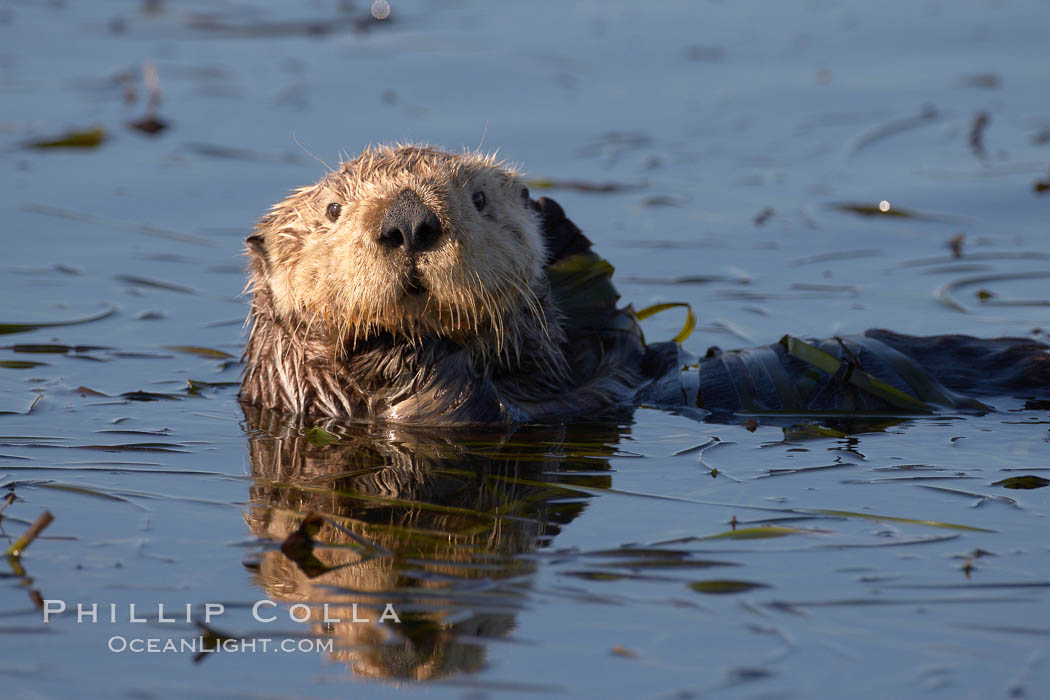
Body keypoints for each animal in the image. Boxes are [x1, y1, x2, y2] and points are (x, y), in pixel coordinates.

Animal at [241, 144, 1050, 423]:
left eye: (478, 199)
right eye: (333, 211)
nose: (409, 222)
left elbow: (620, 337)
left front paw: (559, 226)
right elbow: (440, 399)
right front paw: (383, 348)